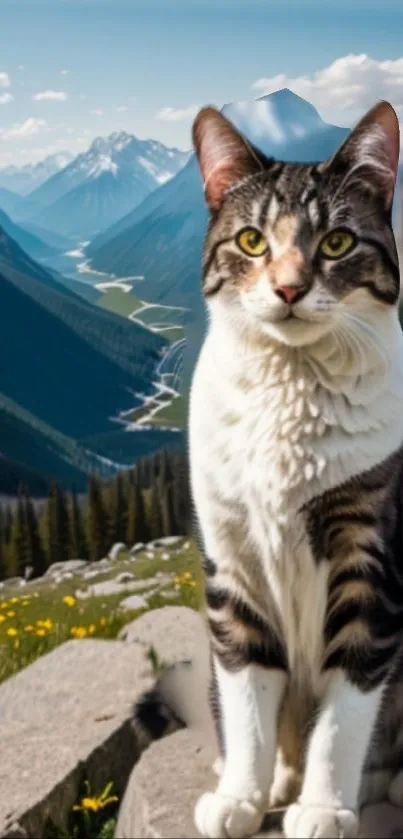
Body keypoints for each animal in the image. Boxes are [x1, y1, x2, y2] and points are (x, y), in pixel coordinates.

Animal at [134, 101, 403, 839]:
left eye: (336, 243)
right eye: (253, 241)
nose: (288, 287)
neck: (291, 386)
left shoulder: (369, 560)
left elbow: (347, 706)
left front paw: (323, 804)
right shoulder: (232, 562)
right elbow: (247, 693)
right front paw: (243, 793)